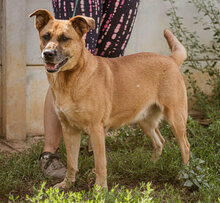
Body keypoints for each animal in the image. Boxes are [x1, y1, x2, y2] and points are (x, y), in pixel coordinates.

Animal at [30, 9, 190, 190]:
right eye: (46, 36)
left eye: (65, 38)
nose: (47, 54)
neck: (71, 79)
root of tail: (171, 59)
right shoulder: (70, 130)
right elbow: (72, 162)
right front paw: (67, 183)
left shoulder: (96, 129)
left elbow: (100, 163)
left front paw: (100, 189)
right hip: (145, 120)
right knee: (160, 141)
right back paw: (151, 165)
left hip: (176, 118)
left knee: (185, 146)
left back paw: (184, 175)